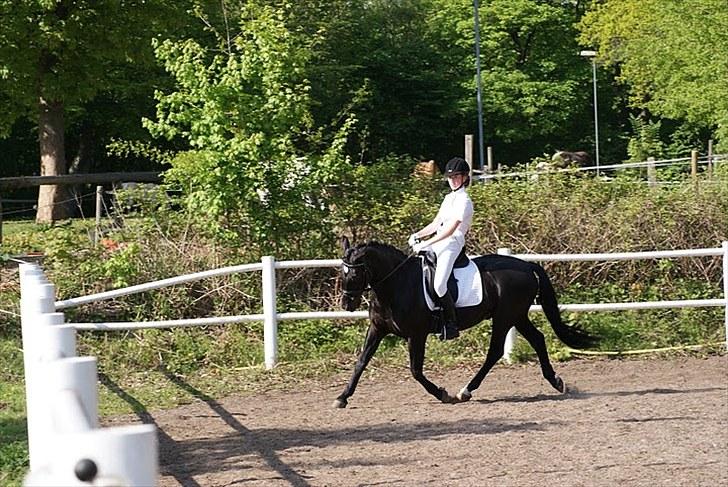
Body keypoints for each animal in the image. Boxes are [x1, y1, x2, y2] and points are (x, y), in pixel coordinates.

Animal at [336, 238, 596, 410]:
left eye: (355, 274)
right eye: (342, 271)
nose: (347, 303)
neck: (397, 284)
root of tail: (527, 265)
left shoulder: (417, 334)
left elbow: (416, 371)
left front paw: (443, 394)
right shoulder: (377, 329)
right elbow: (361, 362)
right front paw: (342, 397)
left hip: (505, 317)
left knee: (495, 351)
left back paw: (465, 391)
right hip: (517, 316)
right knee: (538, 339)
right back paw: (557, 382)